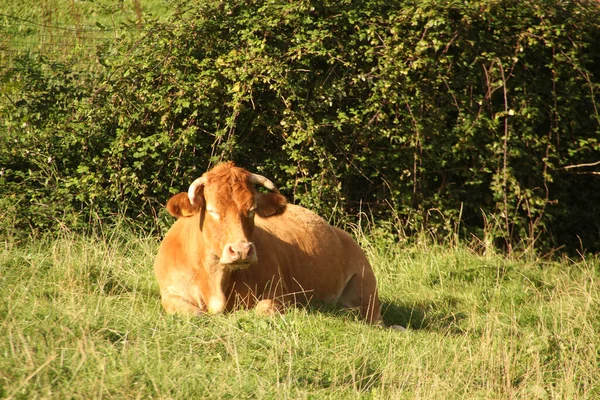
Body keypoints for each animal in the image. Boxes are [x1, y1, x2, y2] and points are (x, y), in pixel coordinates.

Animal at [152, 162, 382, 324]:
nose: (242, 250)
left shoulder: (282, 295)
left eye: (252, 209)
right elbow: (195, 314)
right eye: (212, 211)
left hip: (367, 290)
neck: (215, 279)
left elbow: (261, 310)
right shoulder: (171, 293)